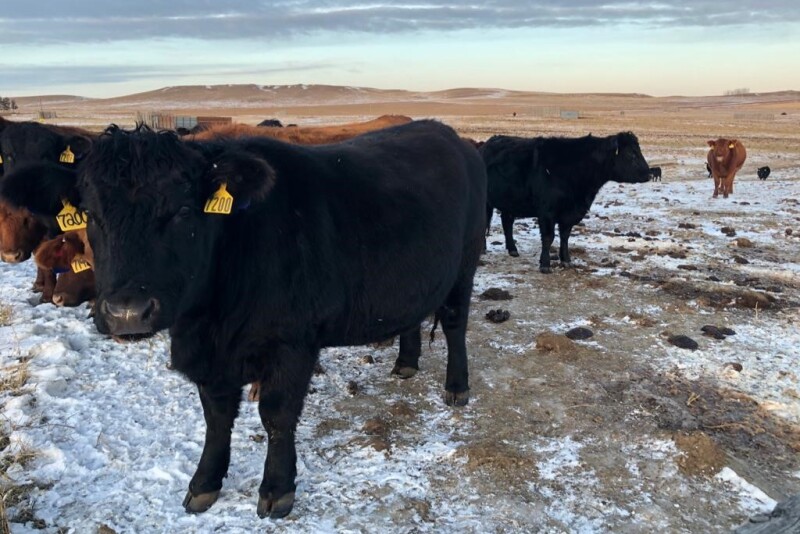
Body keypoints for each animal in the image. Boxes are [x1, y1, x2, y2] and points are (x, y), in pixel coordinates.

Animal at [0, 120, 486, 519]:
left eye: (182, 211)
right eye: (91, 215)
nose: (127, 313)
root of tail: (444, 132)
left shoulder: (293, 343)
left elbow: (277, 414)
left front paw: (277, 489)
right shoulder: (211, 355)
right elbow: (216, 416)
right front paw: (203, 483)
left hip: (464, 264)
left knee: (455, 322)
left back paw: (456, 386)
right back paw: (405, 363)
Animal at [482, 132, 651, 273]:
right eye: (630, 153)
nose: (649, 174)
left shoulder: (570, 213)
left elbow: (565, 236)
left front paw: (566, 260)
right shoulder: (547, 212)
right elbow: (548, 237)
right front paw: (545, 265)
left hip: (509, 201)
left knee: (507, 221)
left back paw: (512, 249)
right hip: (487, 202)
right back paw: (483, 248)